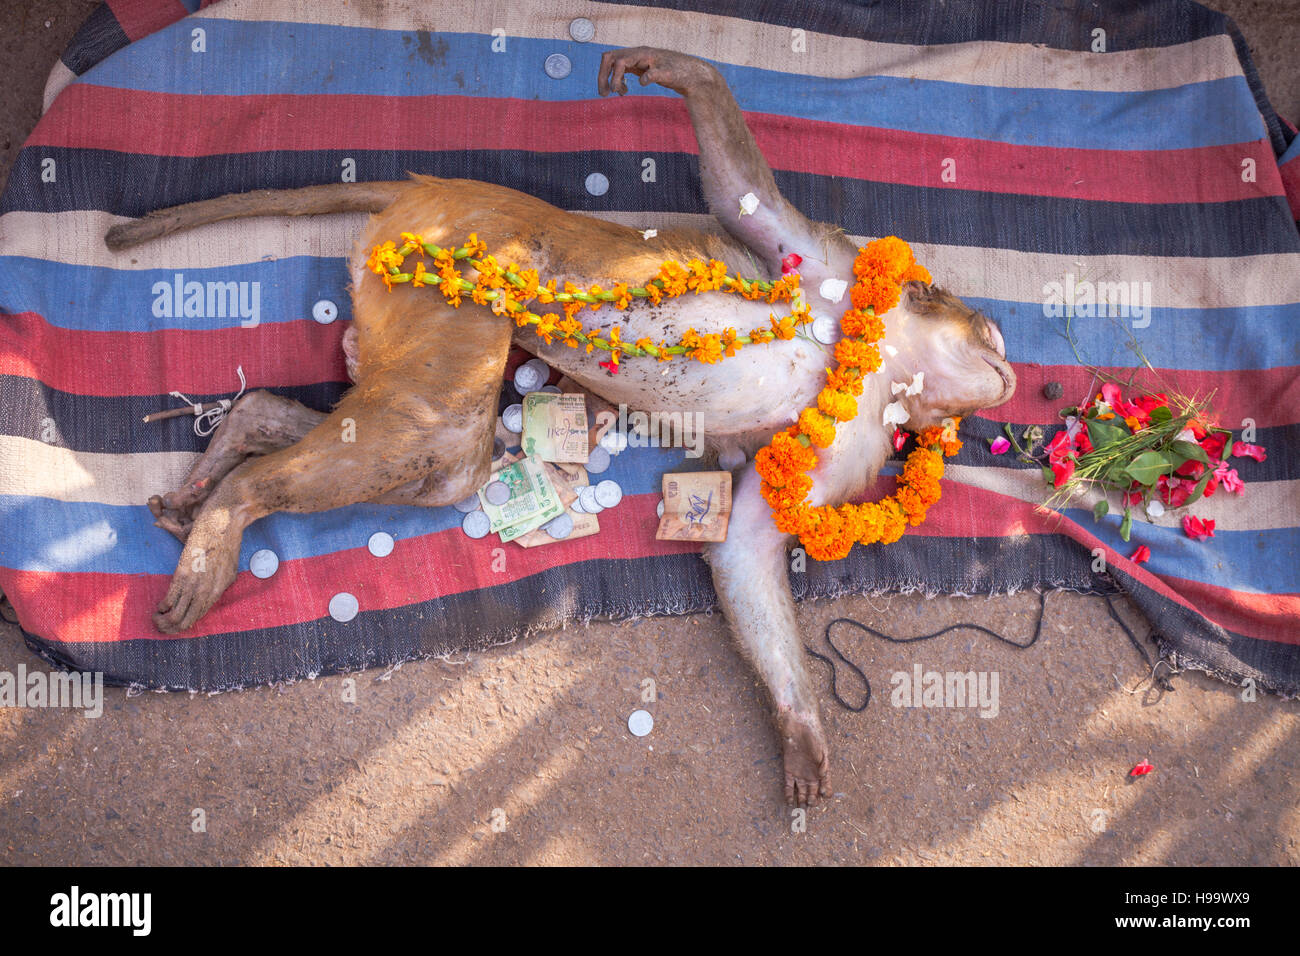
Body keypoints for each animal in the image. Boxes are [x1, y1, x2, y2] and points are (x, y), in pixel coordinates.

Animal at [105, 47, 1015, 807]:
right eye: (990, 336)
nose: (1007, 370)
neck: (882, 365)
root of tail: (426, 190)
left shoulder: (846, 439)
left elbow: (744, 543)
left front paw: (799, 733)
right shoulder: (834, 270)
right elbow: (744, 198)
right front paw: (677, 71)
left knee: (442, 460)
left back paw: (236, 447)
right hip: (451, 267)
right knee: (435, 434)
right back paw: (234, 505)